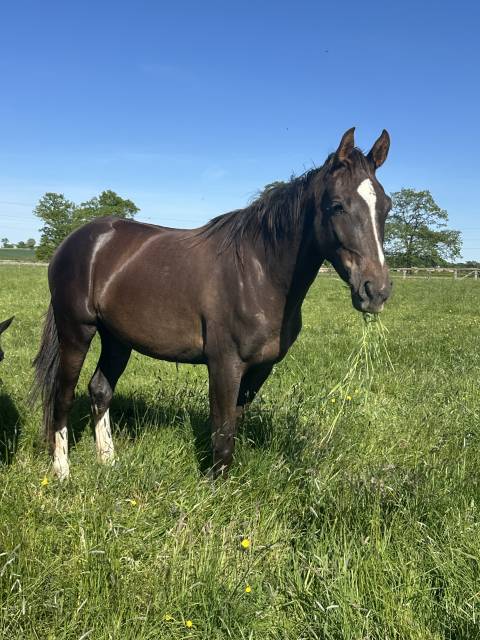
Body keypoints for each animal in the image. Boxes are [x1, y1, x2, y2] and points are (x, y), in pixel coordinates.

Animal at [32, 127, 392, 480]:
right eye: (337, 205)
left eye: (386, 207)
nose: (376, 291)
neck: (258, 273)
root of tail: (77, 240)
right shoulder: (224, 364)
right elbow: (222, 432)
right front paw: (214, 488)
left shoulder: (260, 368)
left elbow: (233, 423)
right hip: (76, 331)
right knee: (62, 396)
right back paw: (62, 471)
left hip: (117, 338)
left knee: (100, 390)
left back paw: (108, 462)